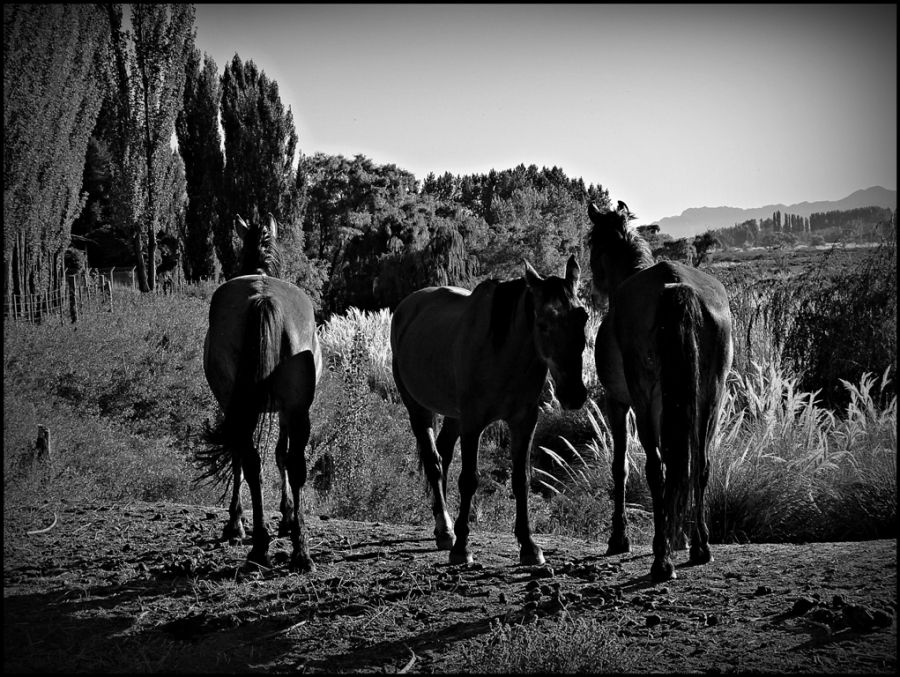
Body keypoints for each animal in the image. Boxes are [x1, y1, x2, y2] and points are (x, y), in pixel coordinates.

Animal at [197, 213, 324, 572]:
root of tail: (263, 298)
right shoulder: (282, 409)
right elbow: (278, 456)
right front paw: (285, 519)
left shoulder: (234, 405)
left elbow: (245, 457)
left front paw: (237, 523)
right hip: (297, 408)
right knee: (293, 464)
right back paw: (298, 552)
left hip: (257, 406)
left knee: (255, 460)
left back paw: (261, 545)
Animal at [388, 258, 588, 564]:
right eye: (543, 323)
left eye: (584, 317)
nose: (574, 394)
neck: (502, 352)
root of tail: (407, 307)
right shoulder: (473, 423)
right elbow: (469, 480)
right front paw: (462, 549)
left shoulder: (524, 422)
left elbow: (521, 479)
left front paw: (529, 546)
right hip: (418, 409)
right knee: (433, 462)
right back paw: (446, 531)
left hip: (453, 416)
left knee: (443, 455)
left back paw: (442, 526)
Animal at [588, 201, 736, 580]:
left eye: (594, 244)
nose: (594, 287)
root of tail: (676, 286)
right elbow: (679, 461)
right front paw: (677, 536)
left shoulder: (617, 403)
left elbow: (621, 466)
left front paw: (620, 538)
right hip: (709, 398)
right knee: (699, 464)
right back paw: (699, 546)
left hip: (643, 402)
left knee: (656, 469)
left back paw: (661, 560)